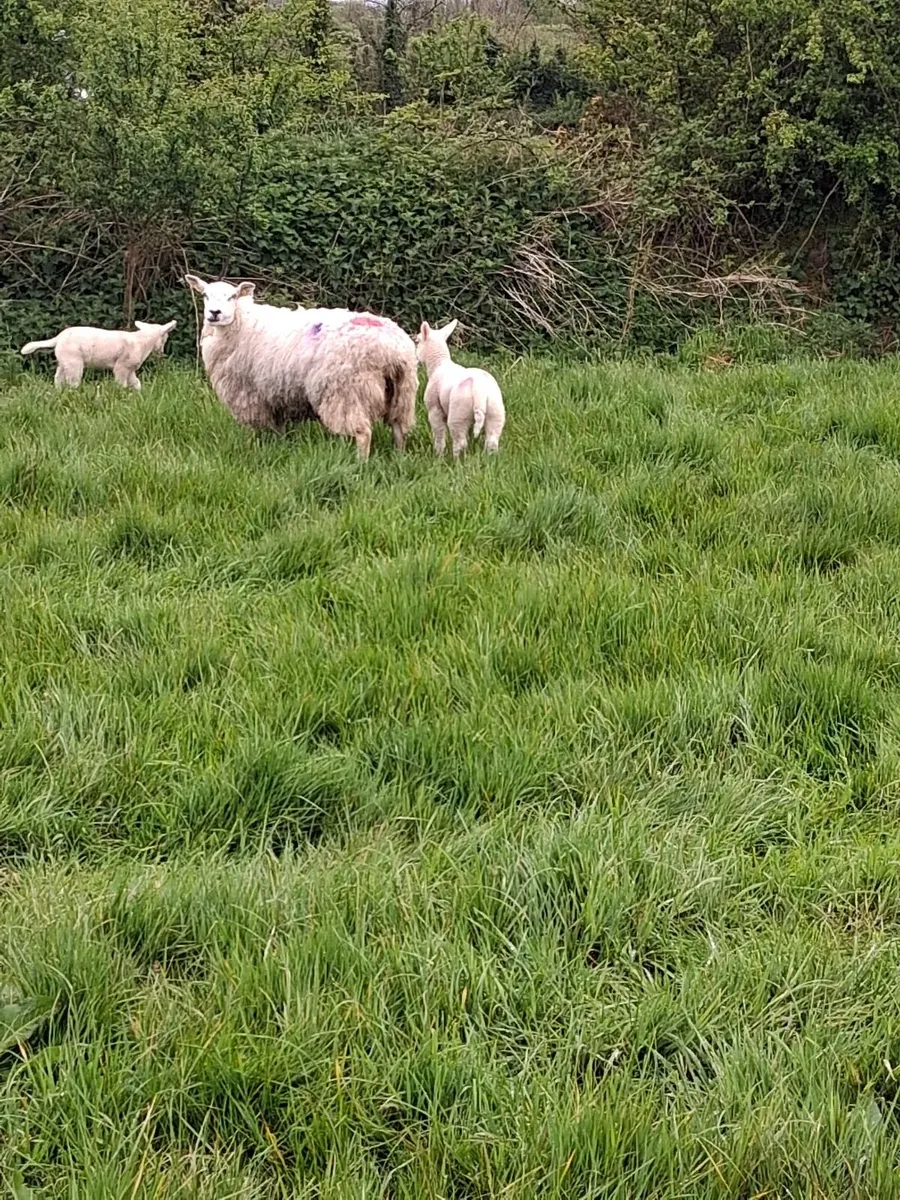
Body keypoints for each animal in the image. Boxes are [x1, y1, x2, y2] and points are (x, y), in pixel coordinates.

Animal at [20, 320, 176, 390]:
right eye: (165, 338)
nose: (162, 352)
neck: (143, 341)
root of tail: (58, 338)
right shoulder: (122, 366)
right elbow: (121, 383)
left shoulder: (130, 369)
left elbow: (136, 383)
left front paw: (138, 394)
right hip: (74, 361)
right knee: (72, 381)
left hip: (64, 360)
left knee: (58, 378)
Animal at [184, 275, 417, 460]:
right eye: (205, 295)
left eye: (232, 296)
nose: (214, 313)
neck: (240, 322)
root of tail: (392, 350)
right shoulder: (275, 395)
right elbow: (279, 428)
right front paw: (280, 446)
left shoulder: (249, 394)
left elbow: (255, 428)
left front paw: (253, 447)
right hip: (402, 392)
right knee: (399, 429)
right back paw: (399, 458)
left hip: (347, 392)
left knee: (363, 433)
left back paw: (360, 464)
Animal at [416, 319, 505, 457]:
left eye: (416, 341)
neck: (438, 363)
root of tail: (479, 389)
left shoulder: (434, 408)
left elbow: (439, 433)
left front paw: (438, 454)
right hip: (495, 409)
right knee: (492, 439)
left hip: (458, 412)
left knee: (460, 441)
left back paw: (456, 459)